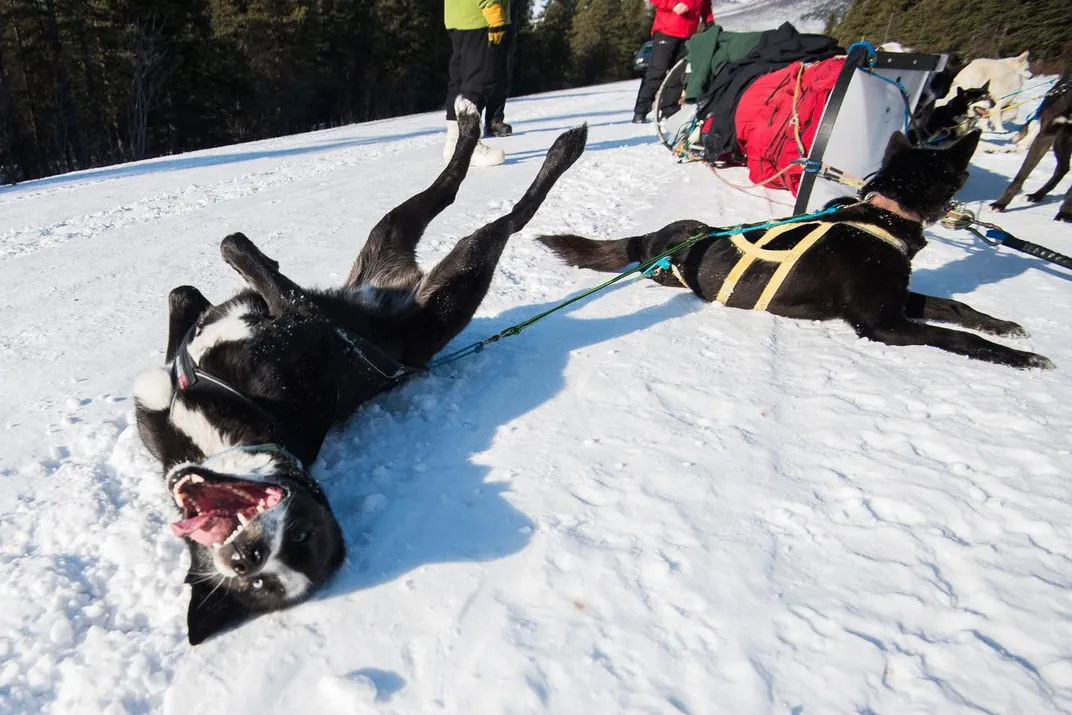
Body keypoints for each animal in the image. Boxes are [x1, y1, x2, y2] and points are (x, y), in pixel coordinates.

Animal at [540, 129, 1050, 373]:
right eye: (961, 174)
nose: (965, 208)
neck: (882, 217)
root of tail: (655, 238)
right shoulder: (881, 324)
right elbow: (954, 337)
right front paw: (1023, 359)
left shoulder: (896, 300)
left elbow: (958, 308)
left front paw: (1004, 327)